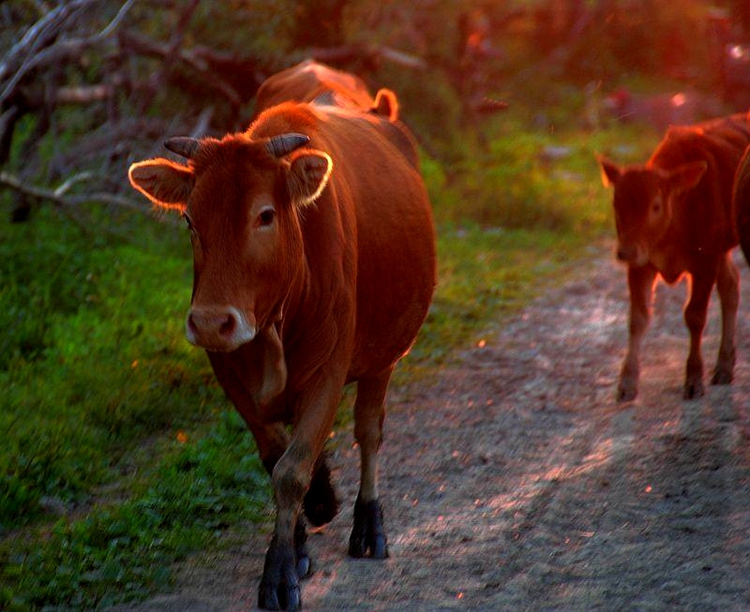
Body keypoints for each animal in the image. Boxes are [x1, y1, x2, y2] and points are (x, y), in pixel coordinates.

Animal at [127, 99, 438, 608]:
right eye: (190, 219)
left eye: (265, 215)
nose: (211, 321)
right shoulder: (232, 377)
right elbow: (277, 460)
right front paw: (300, 538)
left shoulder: (329, 372)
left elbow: (291, 471)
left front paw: (279, 571)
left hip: (385, 357)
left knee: (369, 431)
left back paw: (368, 524)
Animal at [600, 113, 750, 402]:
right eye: (615, 203)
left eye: (656, 205)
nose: (624, 252)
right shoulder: (642, 263)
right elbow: (637, 319)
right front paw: (627, 382)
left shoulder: (705, 260)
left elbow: (695, 316)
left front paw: (693, 379)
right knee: (731, 285)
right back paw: (724, 366)